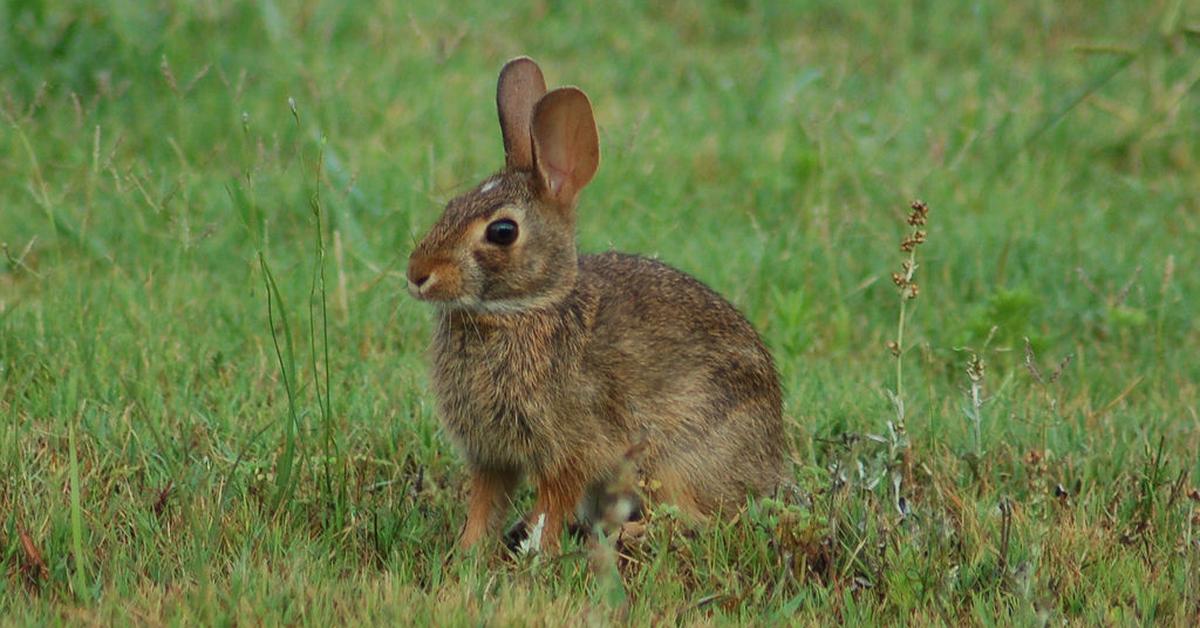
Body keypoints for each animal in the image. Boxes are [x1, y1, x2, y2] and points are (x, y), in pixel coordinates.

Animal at [408, 56, 792, 552]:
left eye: (502, 232)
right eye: (452, 204)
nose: (417, 274)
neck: (522, 310)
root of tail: (769, 469)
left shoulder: (572, 448)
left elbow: (553, 502)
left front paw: (536, 552)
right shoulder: (490, 455)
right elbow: (484, 504)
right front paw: (468, 553)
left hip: (676, 457)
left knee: (697, 519)